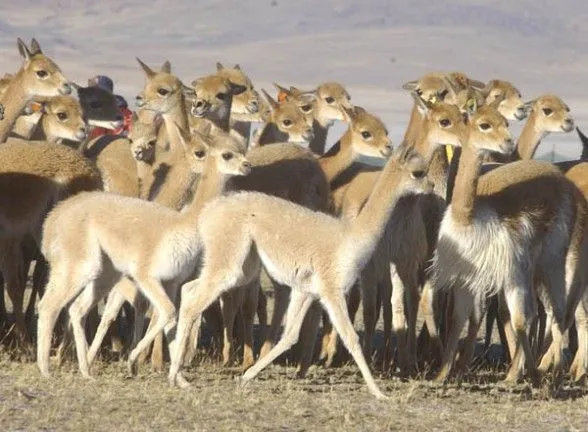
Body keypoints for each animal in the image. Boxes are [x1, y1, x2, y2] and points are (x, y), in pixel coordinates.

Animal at [35, 127, 249, 378]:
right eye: (226, 154)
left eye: (243, 149)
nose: (247, 165)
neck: (185, 222)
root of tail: (54, 219)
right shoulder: (145, 274)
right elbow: (166, 312)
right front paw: (134, 360)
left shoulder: (172, 281)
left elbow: (170, 320)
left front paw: (178, 378)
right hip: (81, 263)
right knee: (49, 305)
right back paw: (46, 369)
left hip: (102, 271)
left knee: (76, 309)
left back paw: (85, 370)